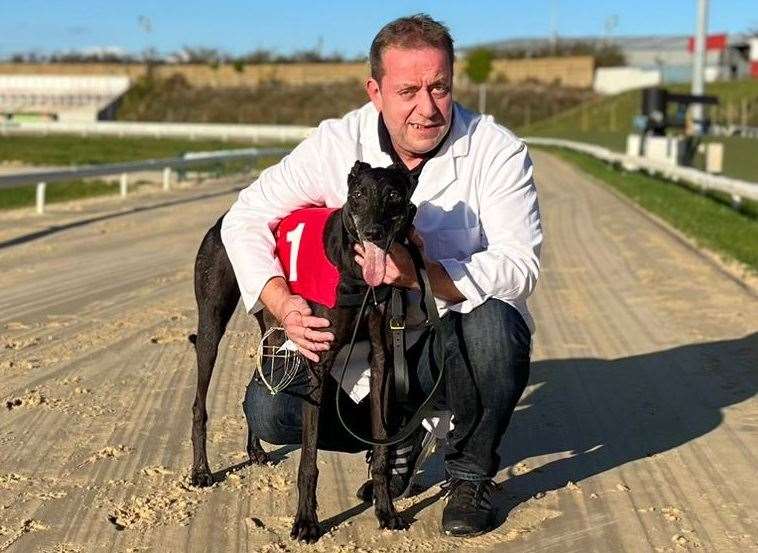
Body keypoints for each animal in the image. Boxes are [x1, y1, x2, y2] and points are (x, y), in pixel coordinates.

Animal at [189, 160, 416, 540]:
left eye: (394, 195)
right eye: (358, 194)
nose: (372, 232)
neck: (354, 270)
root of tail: (222, 221)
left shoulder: (382, 360)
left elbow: (382, 448)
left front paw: (386, 511)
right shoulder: (317, 361)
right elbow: (308, 460)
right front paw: (307, 522)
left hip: (275, 333)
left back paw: (255, 451)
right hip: (211, 327)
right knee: (198, 404)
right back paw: (201, 471)